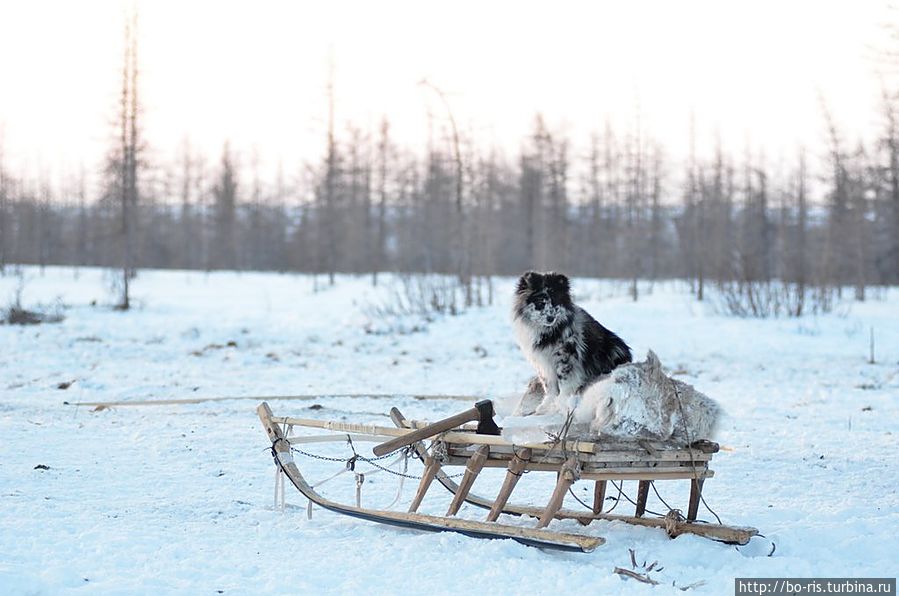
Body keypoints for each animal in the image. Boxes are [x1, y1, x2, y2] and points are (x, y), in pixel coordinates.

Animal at [512, 272, 632, 414]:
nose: (550, 318)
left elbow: (564, 383)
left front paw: (561, 402)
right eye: (541, 302)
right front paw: (546, 405)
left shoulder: (565, 356)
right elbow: (549, 386)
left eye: (555, 302)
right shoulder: (542, 363)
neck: (547, 332)